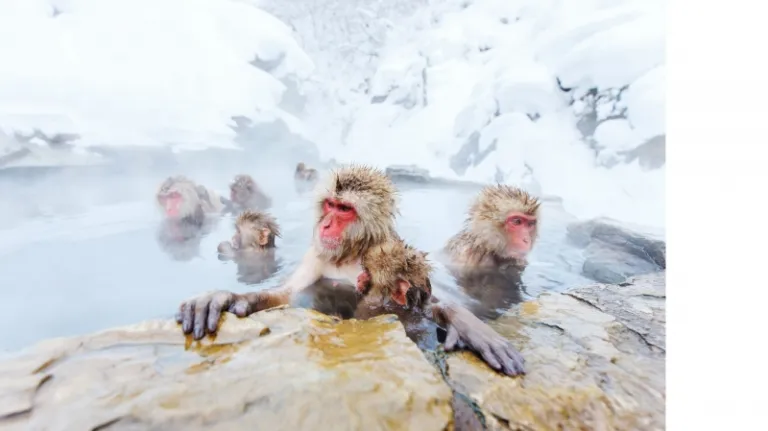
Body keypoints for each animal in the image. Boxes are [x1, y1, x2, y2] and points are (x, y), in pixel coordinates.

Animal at [176, 165, 526, 376]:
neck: (352, 253)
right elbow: (287, 293)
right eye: (330, 205)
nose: (327, 224)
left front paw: (467, 325)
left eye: (344, 209)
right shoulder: (316, 255)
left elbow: (426, 299)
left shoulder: (392, 250)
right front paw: (223, 298)